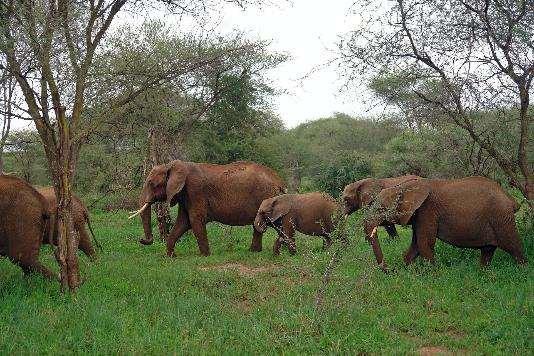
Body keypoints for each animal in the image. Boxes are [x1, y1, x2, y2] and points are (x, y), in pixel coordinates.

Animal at [130, 159, 286, 256]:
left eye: (151, 183)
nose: (141, 239)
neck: (172, 166)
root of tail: (279, 181)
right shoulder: (185, 195)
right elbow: (183, 222)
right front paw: (171, 256)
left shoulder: (194, 190)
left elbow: (195, 220)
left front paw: (205, 256)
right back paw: (255, 252)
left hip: (267, 198)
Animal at [364, 175, 528, 270]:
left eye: (381, 209)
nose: (389, 270)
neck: (403, 187)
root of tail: (510, 199)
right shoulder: (419, 215)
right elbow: (416, 245)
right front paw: (407, 270)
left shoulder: (427, 210)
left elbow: (424, 243)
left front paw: (433, 275)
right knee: (488, 250)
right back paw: (482, 273)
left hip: (501, 217)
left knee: (513, 246)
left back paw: (522, 271)